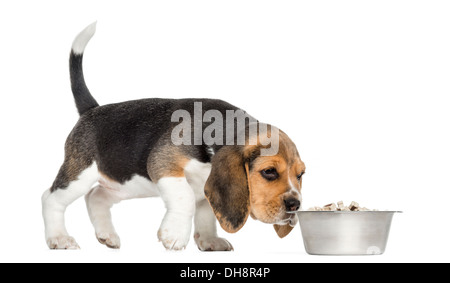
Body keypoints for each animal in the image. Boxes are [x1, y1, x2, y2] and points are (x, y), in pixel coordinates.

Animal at [41, 23, 306, 252]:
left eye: (301, 175)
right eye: (269, 172)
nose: (295, 205)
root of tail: (91, 110)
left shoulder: (206, 188)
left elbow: (206, 212)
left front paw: (209, 240)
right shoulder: (163, 164)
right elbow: (185, 198)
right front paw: (175, 234)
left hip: (126, 183)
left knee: (96, 196)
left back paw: (107, 235)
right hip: (80, 175)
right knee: (51, 198)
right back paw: (59, 238)